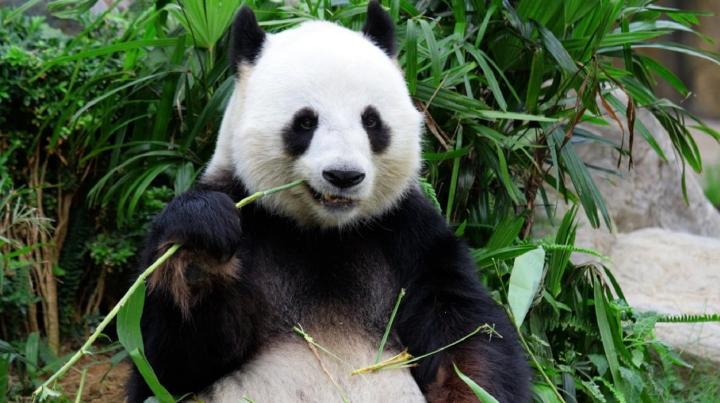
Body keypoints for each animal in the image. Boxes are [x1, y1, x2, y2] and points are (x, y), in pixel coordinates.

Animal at [126, 2, 531, 402]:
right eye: (305, 122)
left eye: (371, 121)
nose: (344, 175)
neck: (324, 233)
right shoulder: (248, 212)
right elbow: (169, 364)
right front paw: (200, 246)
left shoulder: (409, 233)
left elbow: (465, 334)